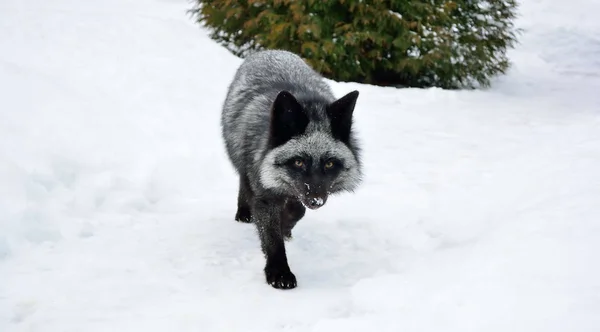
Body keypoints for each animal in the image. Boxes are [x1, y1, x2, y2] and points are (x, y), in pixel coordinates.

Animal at [220, 50, 360, 290]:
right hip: (242, 161)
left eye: (329, 164)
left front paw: (286, 227)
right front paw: (279, 273)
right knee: (243, 183)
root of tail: (270, 51)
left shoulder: (295, 194)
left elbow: (297, 211)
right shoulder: (263, 191)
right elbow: (272, 236)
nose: (316, 200)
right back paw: (244, 213)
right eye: (299, 162)